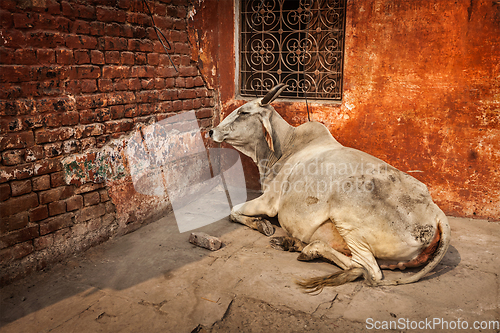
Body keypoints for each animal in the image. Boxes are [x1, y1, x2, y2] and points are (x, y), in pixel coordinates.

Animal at [207, 84, 450, 292]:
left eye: (243, 113)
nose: (211, 131)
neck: (285, 149)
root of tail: (436, 212)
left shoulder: (269, 202)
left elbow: (233, 211)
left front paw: (261, 224)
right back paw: (290, 242)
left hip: (345, 209)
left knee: (365, 268)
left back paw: (308, 248)